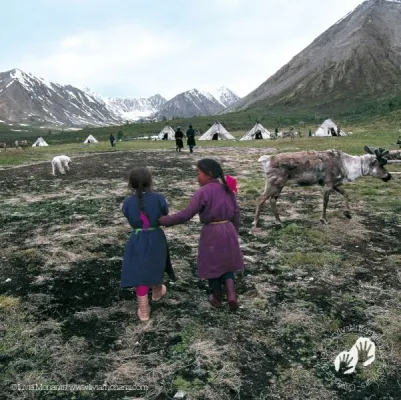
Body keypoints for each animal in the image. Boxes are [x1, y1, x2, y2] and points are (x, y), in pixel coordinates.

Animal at [252, 146, 396, 227]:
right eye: (381, 165)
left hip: (279, 185)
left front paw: (348, 213)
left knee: (272, 200)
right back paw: (256, 223)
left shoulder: (335, 184)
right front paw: (324, 220)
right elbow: (325, 202)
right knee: (260, 199)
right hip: (274, 183)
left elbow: (346, 194)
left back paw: (279, 221)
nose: (389, 176)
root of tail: (265, 159)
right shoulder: (328, 184)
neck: (347, 166)